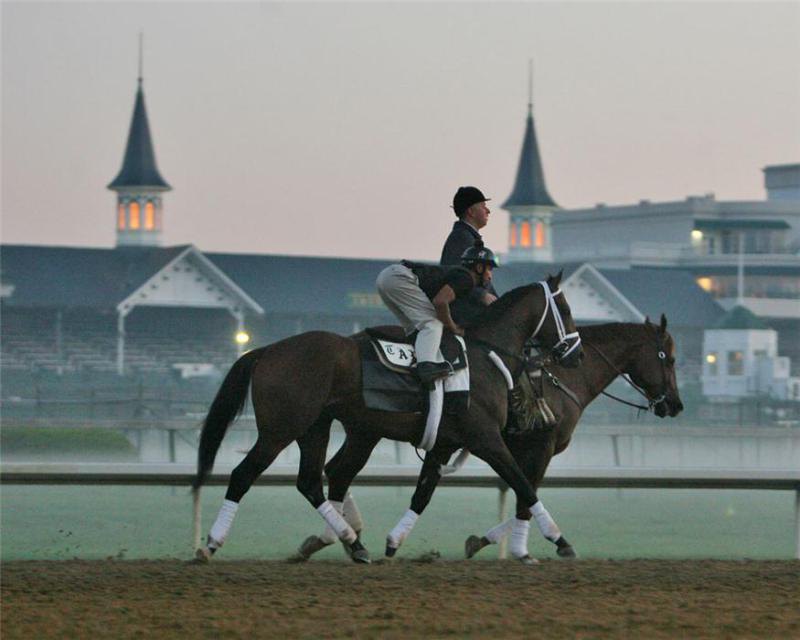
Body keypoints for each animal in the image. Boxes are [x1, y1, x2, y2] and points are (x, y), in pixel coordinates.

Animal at [192, 272, 580, 564]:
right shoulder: (485, 438)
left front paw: (393, 542)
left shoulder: (444, 444)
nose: (574, 353)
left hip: (317, 428)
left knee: (312, 481)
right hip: (280, 429)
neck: (486, 355)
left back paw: (353, 542)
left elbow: (423, 494)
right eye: (564, 307)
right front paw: (560, 540)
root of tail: (267, 350)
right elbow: (523, 484)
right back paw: (210, 544)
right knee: (244, 475)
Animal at [296, 314, 684, 560]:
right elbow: (525, 492)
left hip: (365, 431)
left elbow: (517, 492)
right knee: (338, 472)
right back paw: (340, 537)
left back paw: (333, 538)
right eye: (669, 358)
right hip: (369, 430)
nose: (675, 405)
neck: (563, 377)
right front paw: (533, 544)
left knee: (337, 471)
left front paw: (481, 541)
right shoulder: (536, 447)